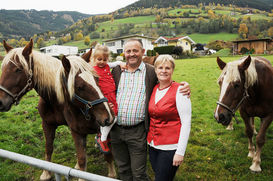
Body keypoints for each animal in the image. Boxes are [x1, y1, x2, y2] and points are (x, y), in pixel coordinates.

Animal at [0, 39, 116, 180]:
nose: (1, 101)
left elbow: (107, 153)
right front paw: (46, 172)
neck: (54, 100)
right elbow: (50, 148)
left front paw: (111, 174)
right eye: (3, 69)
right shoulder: (49, 125)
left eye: (18, 69)